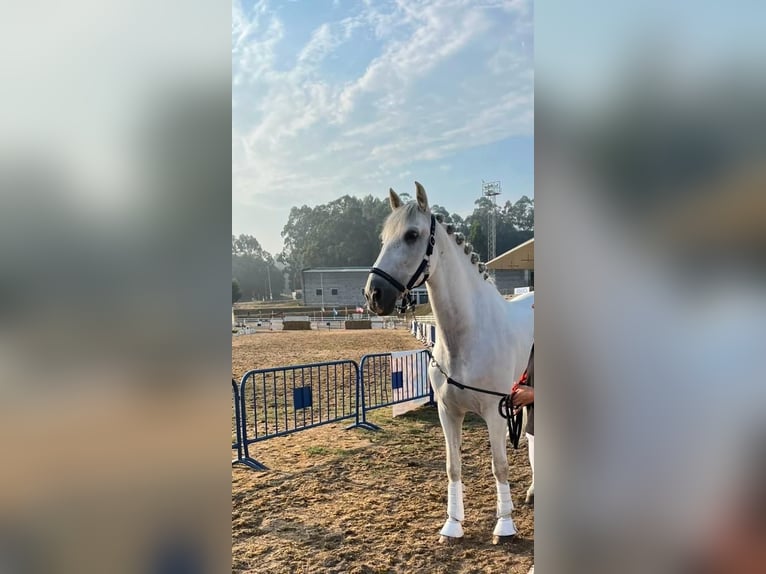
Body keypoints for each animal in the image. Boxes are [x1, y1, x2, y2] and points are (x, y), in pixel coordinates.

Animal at [364, 182, 534, 543]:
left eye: (412, 235)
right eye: (384, 238)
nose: (374, 295)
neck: (467, 338)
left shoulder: (495, 412)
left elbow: (499, 465)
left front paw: (505, 526)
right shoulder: (448, 411)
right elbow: (452, 466)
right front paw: (452, 524)